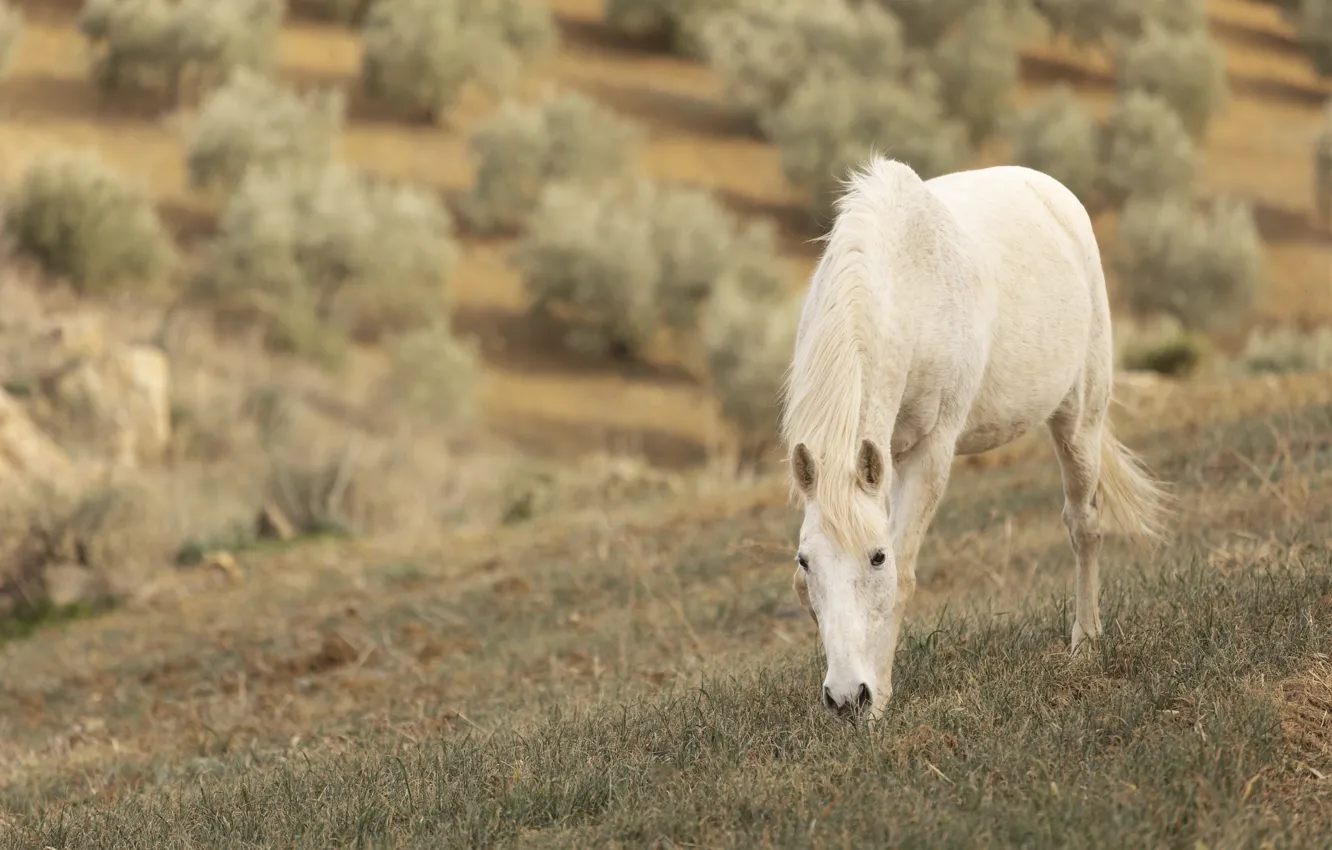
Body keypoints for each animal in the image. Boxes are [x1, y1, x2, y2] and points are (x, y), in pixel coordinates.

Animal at [780, 155, 1173, 720]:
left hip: (1079, 421)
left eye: (876, 557)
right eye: (805, 560)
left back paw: (1086, 641)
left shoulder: (930, 452)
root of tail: (1052, 193)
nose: (846, 699)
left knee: (1084, 526)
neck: (905, 290)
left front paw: (880, 701)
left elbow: (905, 575)